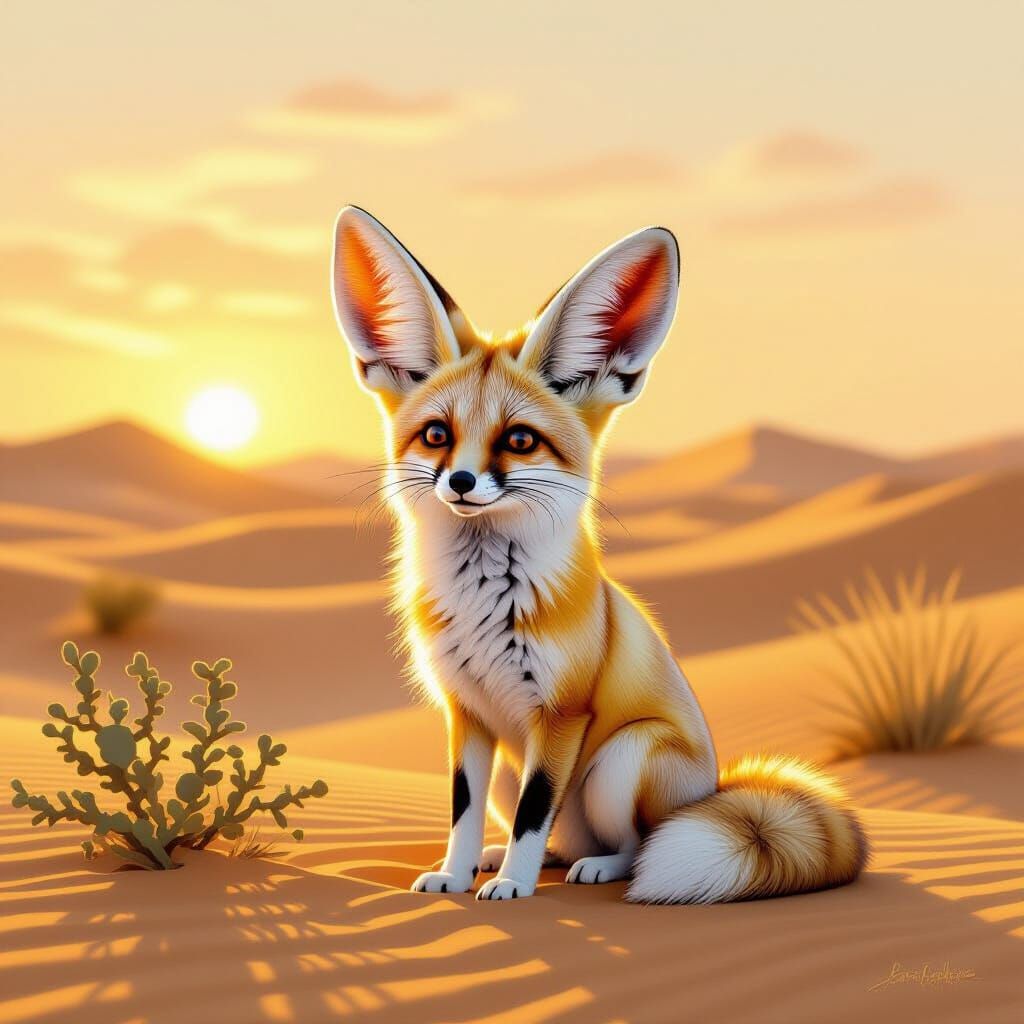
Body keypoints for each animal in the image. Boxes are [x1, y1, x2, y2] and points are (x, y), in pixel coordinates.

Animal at [330, 206, 868, 903]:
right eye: (437, 435)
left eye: (520, 441)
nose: (461, 483)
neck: (483, 606)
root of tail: (713, 788)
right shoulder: (467, 712)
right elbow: (462, 811)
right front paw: (455, 871)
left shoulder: (562, 713)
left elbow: (536, 812)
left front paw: (514, 885)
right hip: (515, 768)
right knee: (564, 835)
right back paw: (530, 860)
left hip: (620, 759)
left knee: (638, 843)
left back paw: (601, 868)